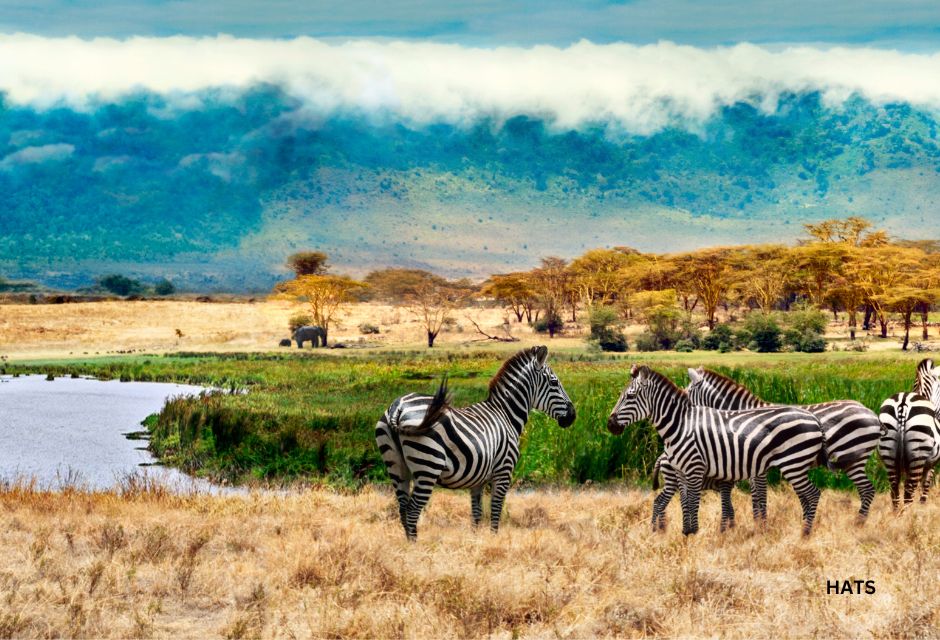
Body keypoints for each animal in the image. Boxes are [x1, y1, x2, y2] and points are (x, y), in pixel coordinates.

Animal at [374, 344, 572, 540]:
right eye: (554, 383)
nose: (573, 416)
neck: (505, 415)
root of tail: (398, 407)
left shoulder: (477, 480)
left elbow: (477, 514)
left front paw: (476, 541)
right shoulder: (503, 472)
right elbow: (495, 511)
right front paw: (493, 540)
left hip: (397, 466)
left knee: (402, 510)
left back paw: (408, 545)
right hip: (428, 466)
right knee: (412, 511)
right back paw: (416, 547)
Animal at [608, 364, 824, 536]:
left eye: (630, 396)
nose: (610, 425)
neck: (681, 425)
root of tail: (814, 419)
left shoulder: (697, 469)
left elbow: (696, 503)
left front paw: (696, 534)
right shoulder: (681, 471)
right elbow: (688, 503)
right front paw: (687, 534)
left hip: (793, 463)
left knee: (812, 494)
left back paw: (805, 534)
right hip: (795, 465)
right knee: (807, 496)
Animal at [680, 368, 884, 524]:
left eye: (687, 393)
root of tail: (871, 412)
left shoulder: (756, 466)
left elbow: (759, 496)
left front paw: (760, 524)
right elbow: (757, 497)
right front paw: (759, 523)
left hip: (853, 457)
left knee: (867, 490)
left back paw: (859, 522)